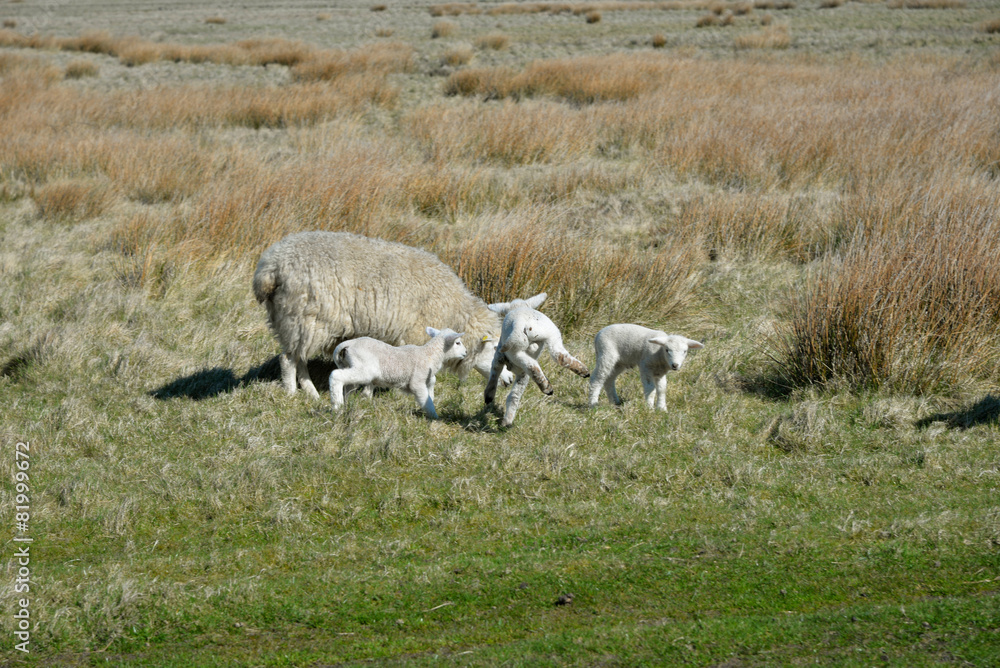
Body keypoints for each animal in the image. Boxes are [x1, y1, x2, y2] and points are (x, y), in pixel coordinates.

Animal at [252, 231, 512, 400]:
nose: (509, 381)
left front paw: (366, 393)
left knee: (299, 358)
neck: (452, 308)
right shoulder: (412, 335)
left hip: (296, 321)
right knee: (288, 360)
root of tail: (271, 265)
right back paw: (291, 393)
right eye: (495, 351)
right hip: (305, 318)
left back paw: (311, 392)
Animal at [329, 327, 466, 419]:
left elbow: (431, 389)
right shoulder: (417, 382)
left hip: (351, 365)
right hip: (364, 369)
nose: (466, 352)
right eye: (457, 342)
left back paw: (347, 404)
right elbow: (426, 401)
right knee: (336, 376)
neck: (429, 355)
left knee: (348, 386)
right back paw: (337, 407)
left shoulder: (428, 378)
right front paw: (435, 418)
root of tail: (348, 343)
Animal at [484, 293, 590, 427]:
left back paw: (546, 388)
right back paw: (583, 371)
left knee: (531, 364)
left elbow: (494, 375)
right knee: (559, 356)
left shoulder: (498, 358)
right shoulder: (521, 374)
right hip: (552, 334)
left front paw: (489, 396)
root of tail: (524, 323)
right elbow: (514, 395)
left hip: (516, 349)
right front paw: (507, 419)